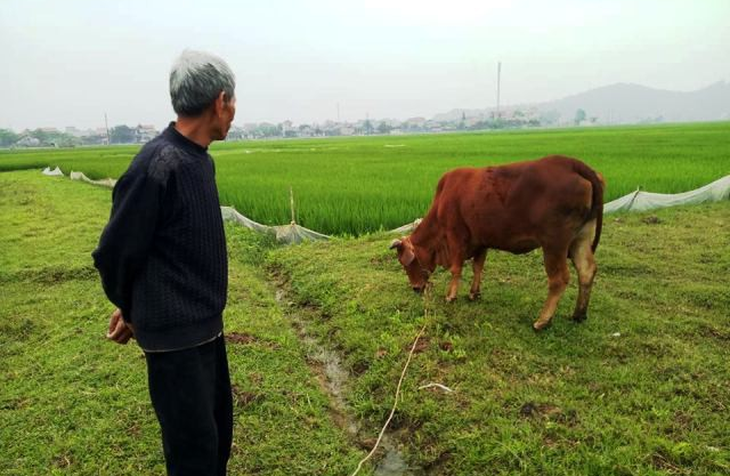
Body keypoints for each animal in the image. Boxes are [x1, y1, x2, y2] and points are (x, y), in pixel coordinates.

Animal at [392, 156, 604, 330]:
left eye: (405, 262)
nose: (416, 288)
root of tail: (573, 164)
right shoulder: (481, 241)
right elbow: (478, 267)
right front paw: (474, 293)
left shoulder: (456, 237)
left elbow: (456, 269)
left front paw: (451, 296)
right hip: (581, 238)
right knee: (586, 271)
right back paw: (579, 314)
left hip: (554, 244)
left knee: (559, 279)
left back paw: (542, 321)